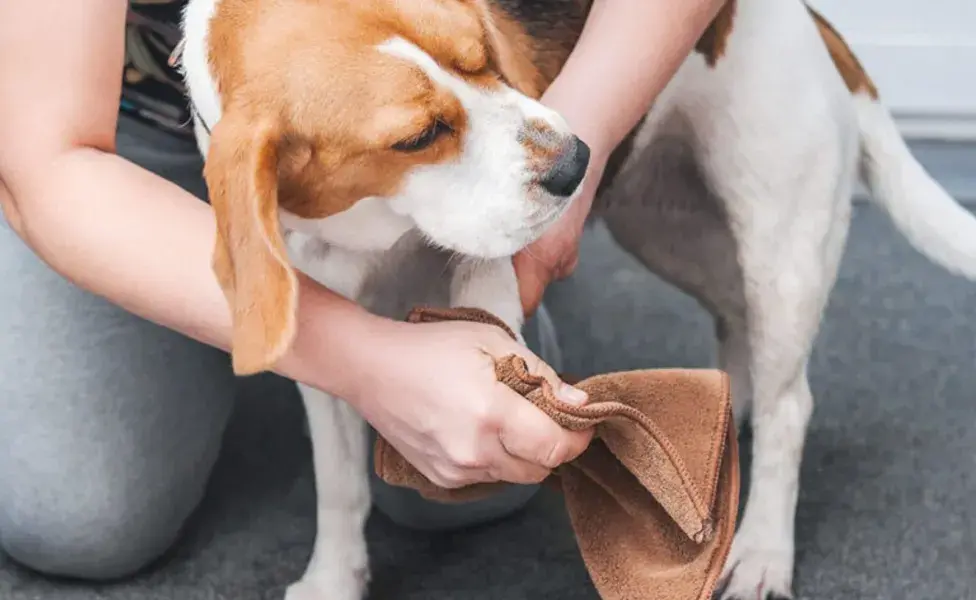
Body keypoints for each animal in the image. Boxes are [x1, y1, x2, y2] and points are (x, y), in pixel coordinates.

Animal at [177, 1, 976, 600]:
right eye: (418, 136)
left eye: (484, 56)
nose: (576, 162)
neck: (374, 224)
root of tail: (807, 17)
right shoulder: (325, 345)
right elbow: (340, 485)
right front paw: (335, 578)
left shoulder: (492, 253)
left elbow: (483, 288)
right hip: (662, 227)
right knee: (732, 316)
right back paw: (726, 410)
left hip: (781, 247)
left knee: (791, 406)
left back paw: (762, 550)